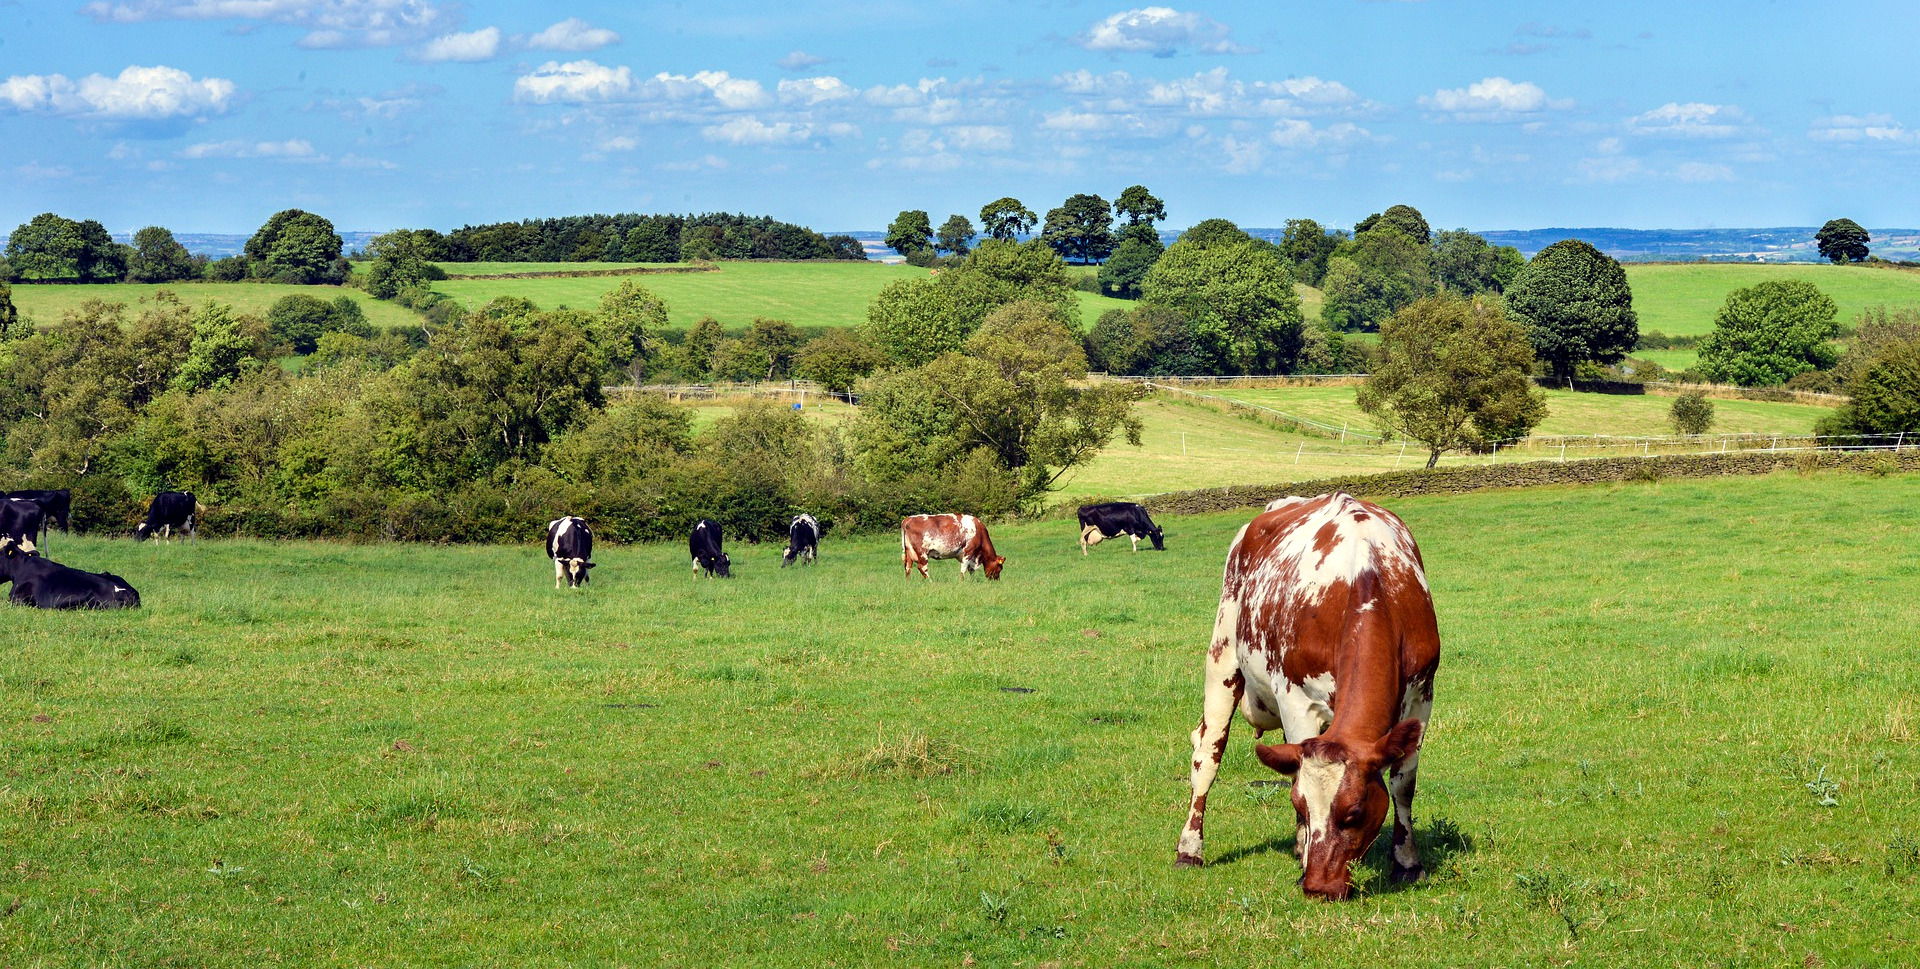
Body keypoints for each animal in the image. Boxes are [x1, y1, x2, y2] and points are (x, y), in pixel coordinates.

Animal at [1167, 491, 1443, 898]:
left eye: (1354, 812)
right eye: (1301, 805)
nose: (1318, 887)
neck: (1368, 580)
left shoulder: (1422, 696)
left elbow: (1403, 784)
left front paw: (1408, 863)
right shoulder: (1296, 700)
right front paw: (1304, 854)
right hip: (1223, 654)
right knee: (1207, 754)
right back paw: (1190, 848)